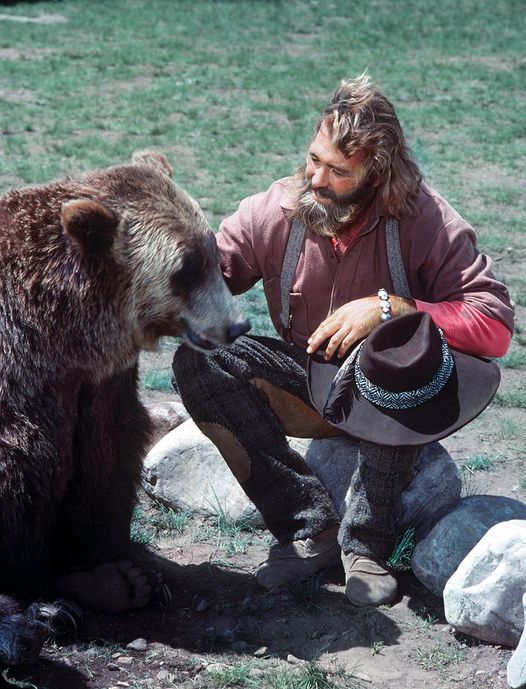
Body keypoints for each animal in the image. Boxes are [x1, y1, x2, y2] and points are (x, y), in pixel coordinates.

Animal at [0, 152, 251, 668]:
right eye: (185, 268)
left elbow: (107, 455)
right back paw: (32, 622)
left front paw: (119, 571)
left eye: (214, 255)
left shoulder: (99, 382)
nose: (237, 325)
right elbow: (23, 465)